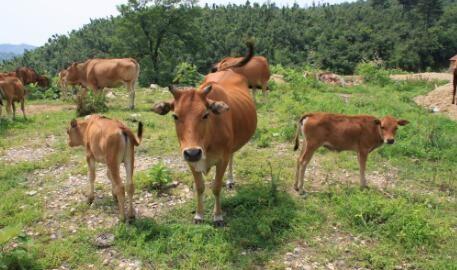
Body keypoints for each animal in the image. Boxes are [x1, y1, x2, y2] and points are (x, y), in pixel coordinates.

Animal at [151, 44, 255, 226]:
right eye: (175, 116)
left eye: (206, 114)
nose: (193, 152)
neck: (207, 142)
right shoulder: (190, 160)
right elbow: (199, 187)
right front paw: (199, 215)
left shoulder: (222, 159)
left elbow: (216, 187)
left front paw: (218, 216)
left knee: (232, 157)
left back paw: (230, 180)